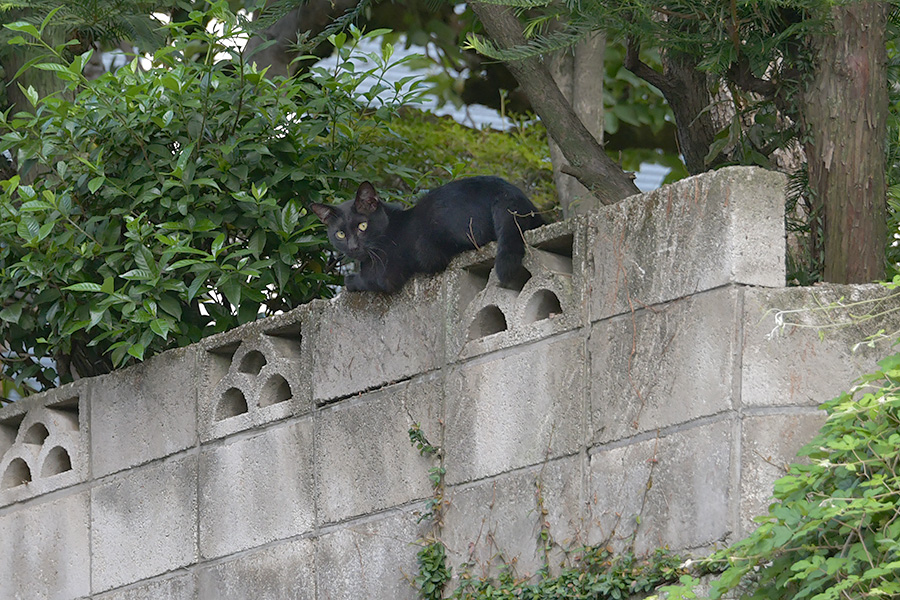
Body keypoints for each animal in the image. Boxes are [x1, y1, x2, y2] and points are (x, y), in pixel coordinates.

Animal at [310, 176, 548, 292]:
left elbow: (364, 281)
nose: (352, 247)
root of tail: (505, 190)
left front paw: (350, 279)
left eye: (362, 226)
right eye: (340, 234)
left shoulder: (385, 277)